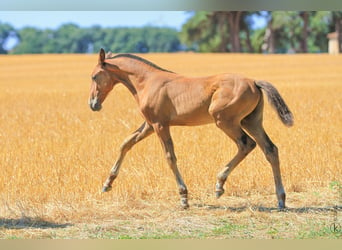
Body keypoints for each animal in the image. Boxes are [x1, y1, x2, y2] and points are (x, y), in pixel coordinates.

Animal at [89, 48, 294, 209]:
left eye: (94, 76)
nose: (93, 104)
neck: (147, 82)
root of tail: (254, 82)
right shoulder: (149, 124)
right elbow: (126, 143)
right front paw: (107, 184)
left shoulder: (160, 125)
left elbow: (170, 157)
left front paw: (184, 197)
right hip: (251, 121)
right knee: (270, 149)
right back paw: (281, 199)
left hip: (225, 120)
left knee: (246, 144)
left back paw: (219, 185)